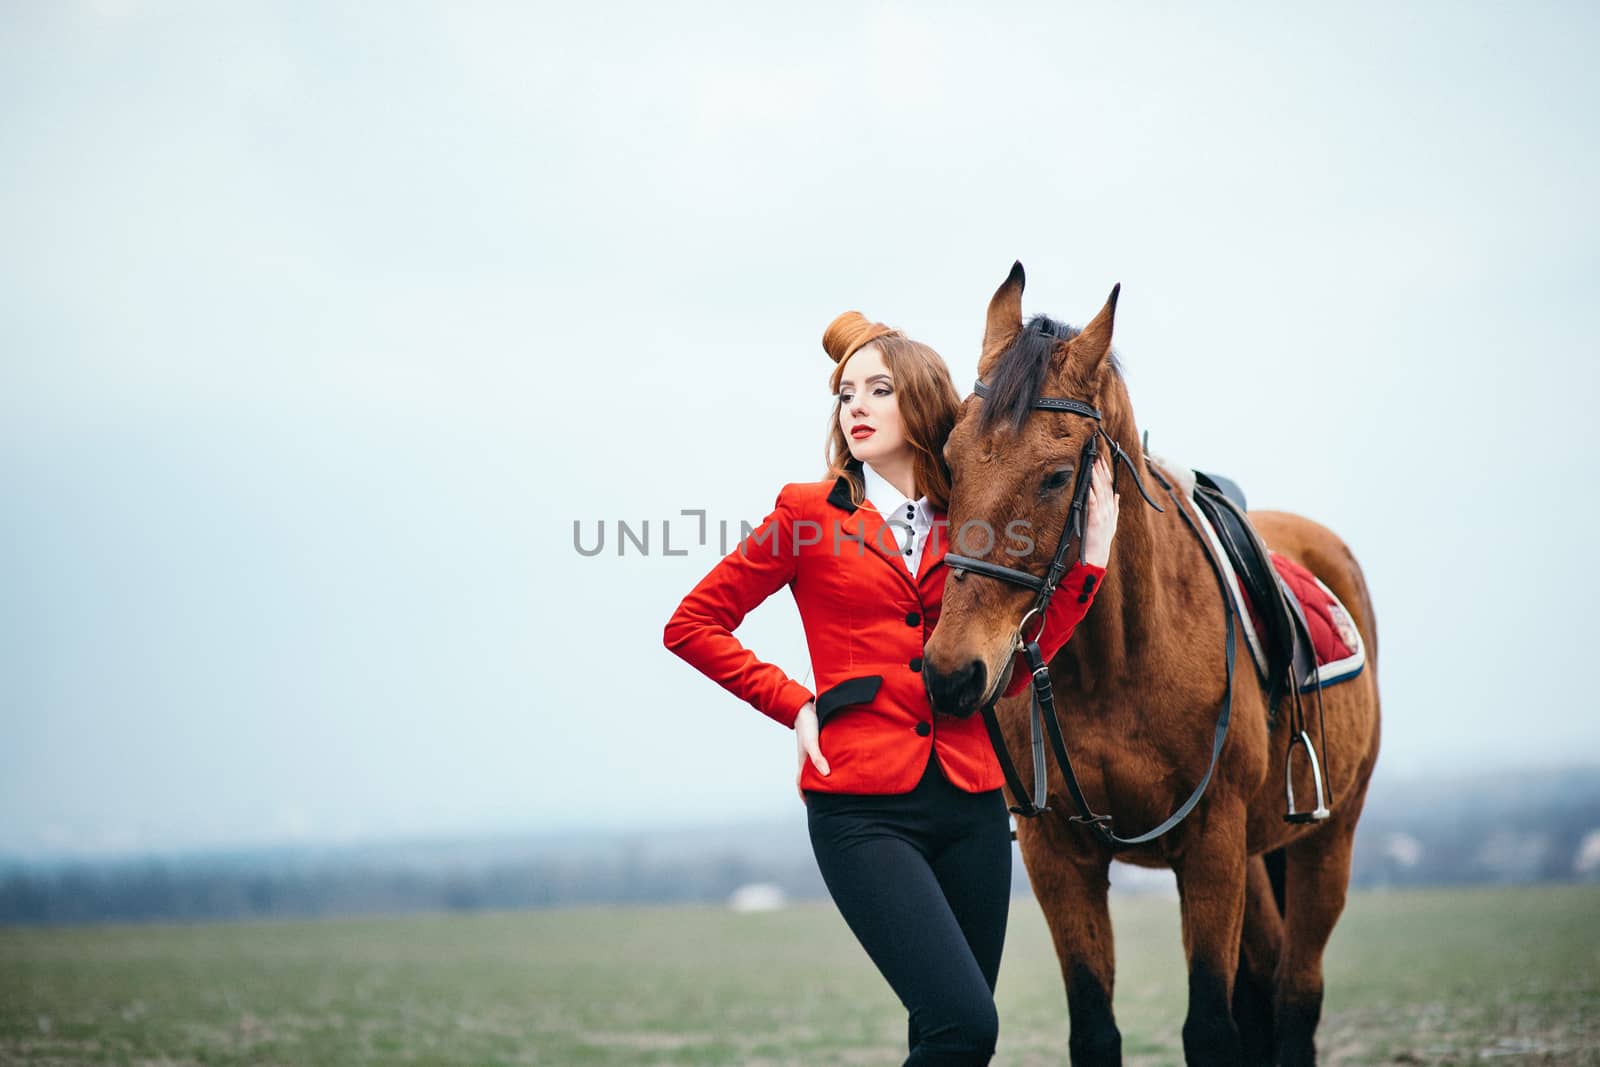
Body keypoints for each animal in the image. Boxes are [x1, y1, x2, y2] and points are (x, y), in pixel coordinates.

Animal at [921, 260, 1382, 1067]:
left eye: (1055, 475)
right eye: (948, 461)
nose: (953, 671)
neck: (1114, 668)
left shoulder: (1213, 846)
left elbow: (1212, 1027)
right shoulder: (1057, 854)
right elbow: (1095, 1027)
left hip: (1328, 842)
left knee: (1295, 1000)